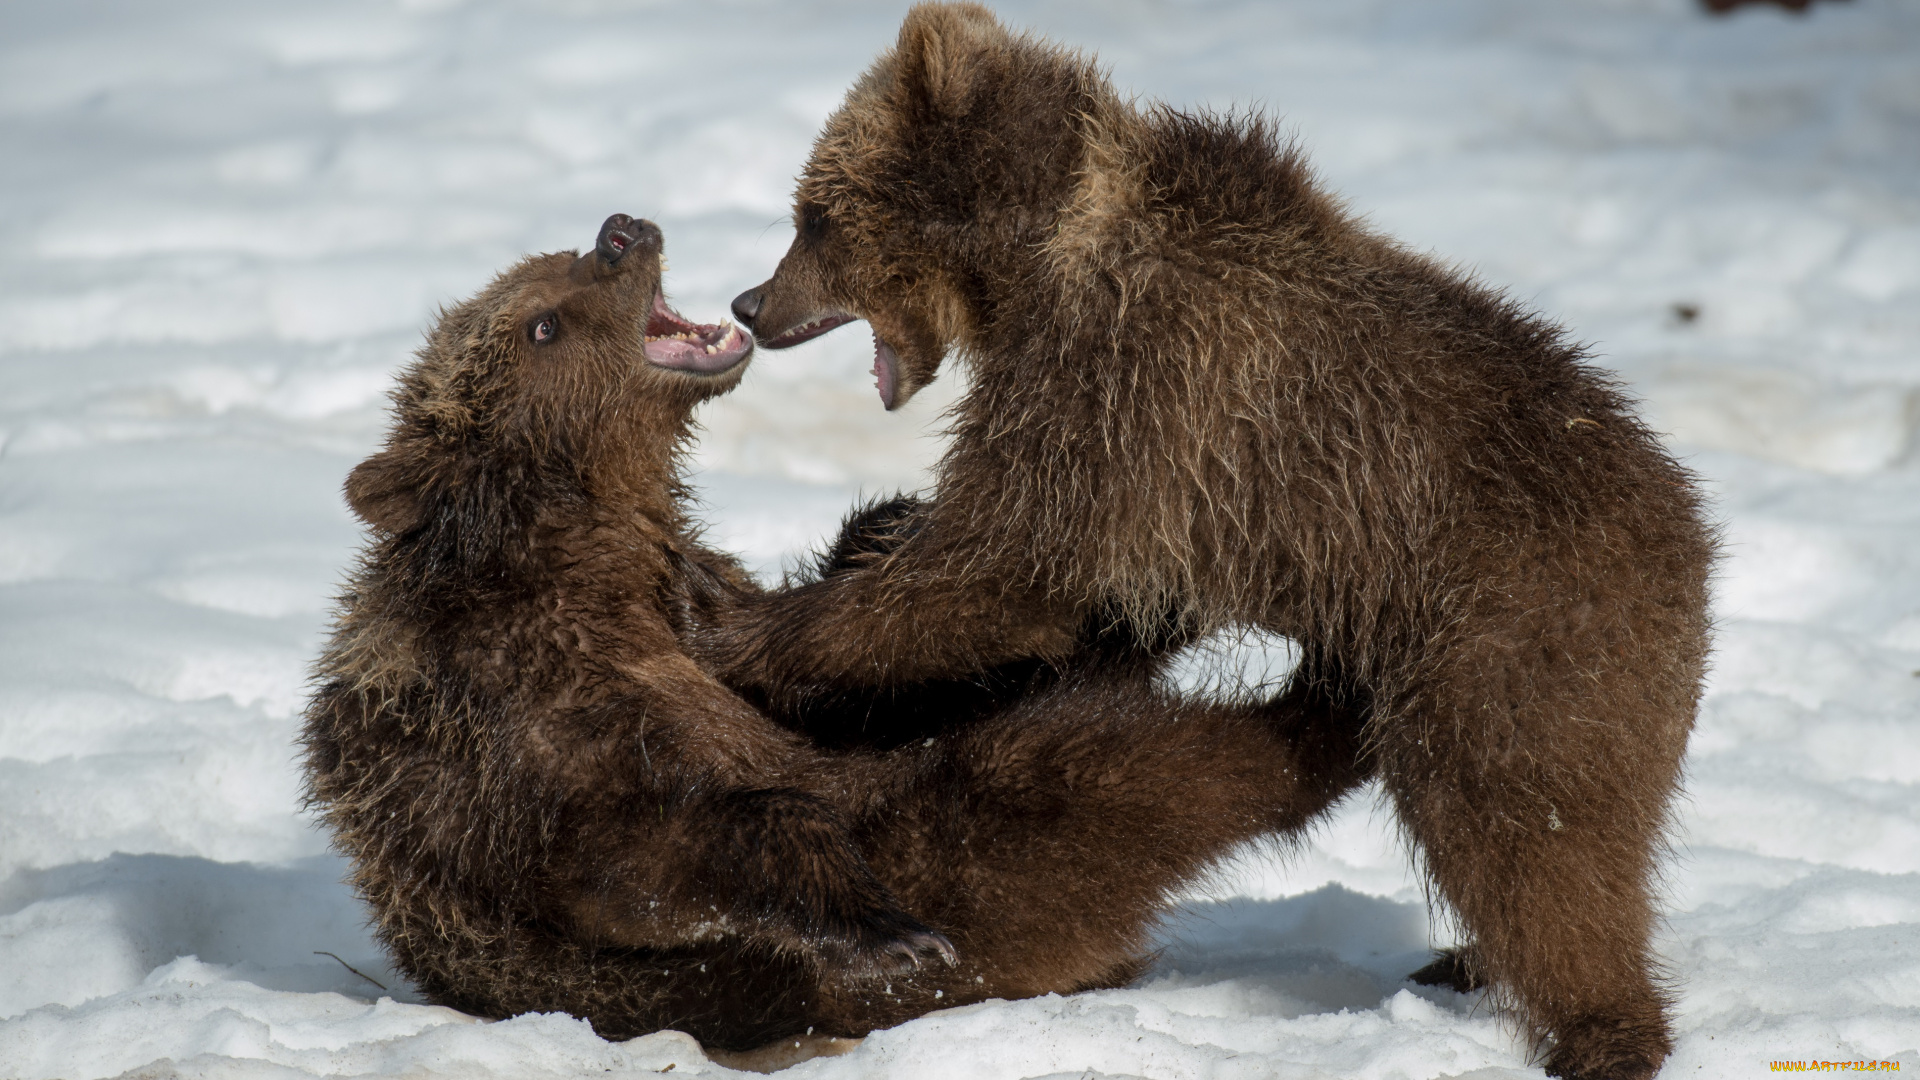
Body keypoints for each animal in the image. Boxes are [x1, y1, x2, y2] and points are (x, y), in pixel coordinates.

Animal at [299, 214, 1367, 1053]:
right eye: (540, 321)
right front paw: (884, 927)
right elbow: (646, 857)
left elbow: (838, 676)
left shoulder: (694, 617)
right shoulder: (515, 738)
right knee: (1120, 768)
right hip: (980, 864)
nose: (620, 232)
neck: (591, 537)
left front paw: (887, 528)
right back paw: (1320, 706)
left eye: (552, 265)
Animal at [710, 4, 1728, 1068]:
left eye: (813, 213)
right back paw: (1469, 965)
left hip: (1517, 629)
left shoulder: (1128, 379)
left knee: (1529, 832)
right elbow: (1066, 599)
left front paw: (748, 632)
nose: (751, 303)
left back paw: (1603, 1030)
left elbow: (1002, 563)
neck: (1036, 259)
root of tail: (1691, 532)